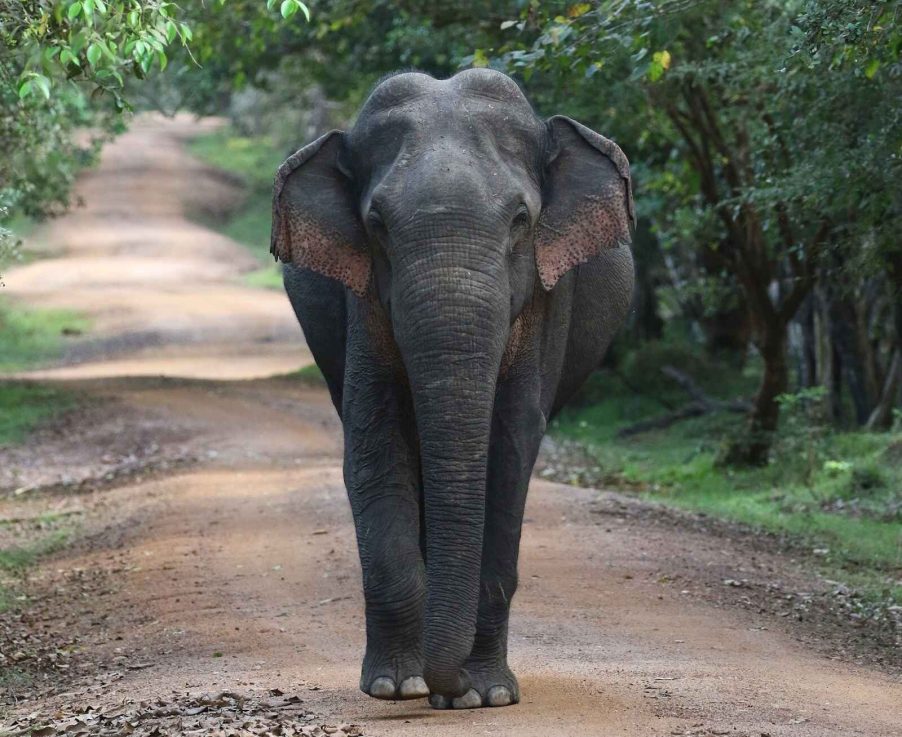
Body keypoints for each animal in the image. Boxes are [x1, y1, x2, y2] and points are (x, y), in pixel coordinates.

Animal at [272, 69, 632, 708]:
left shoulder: (544, 301)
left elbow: (511, 448)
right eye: (376, 225)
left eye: (521, 220)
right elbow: (373, 437)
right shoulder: (363, 301)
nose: (452, 685)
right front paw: (396, 687)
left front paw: (484, 695)